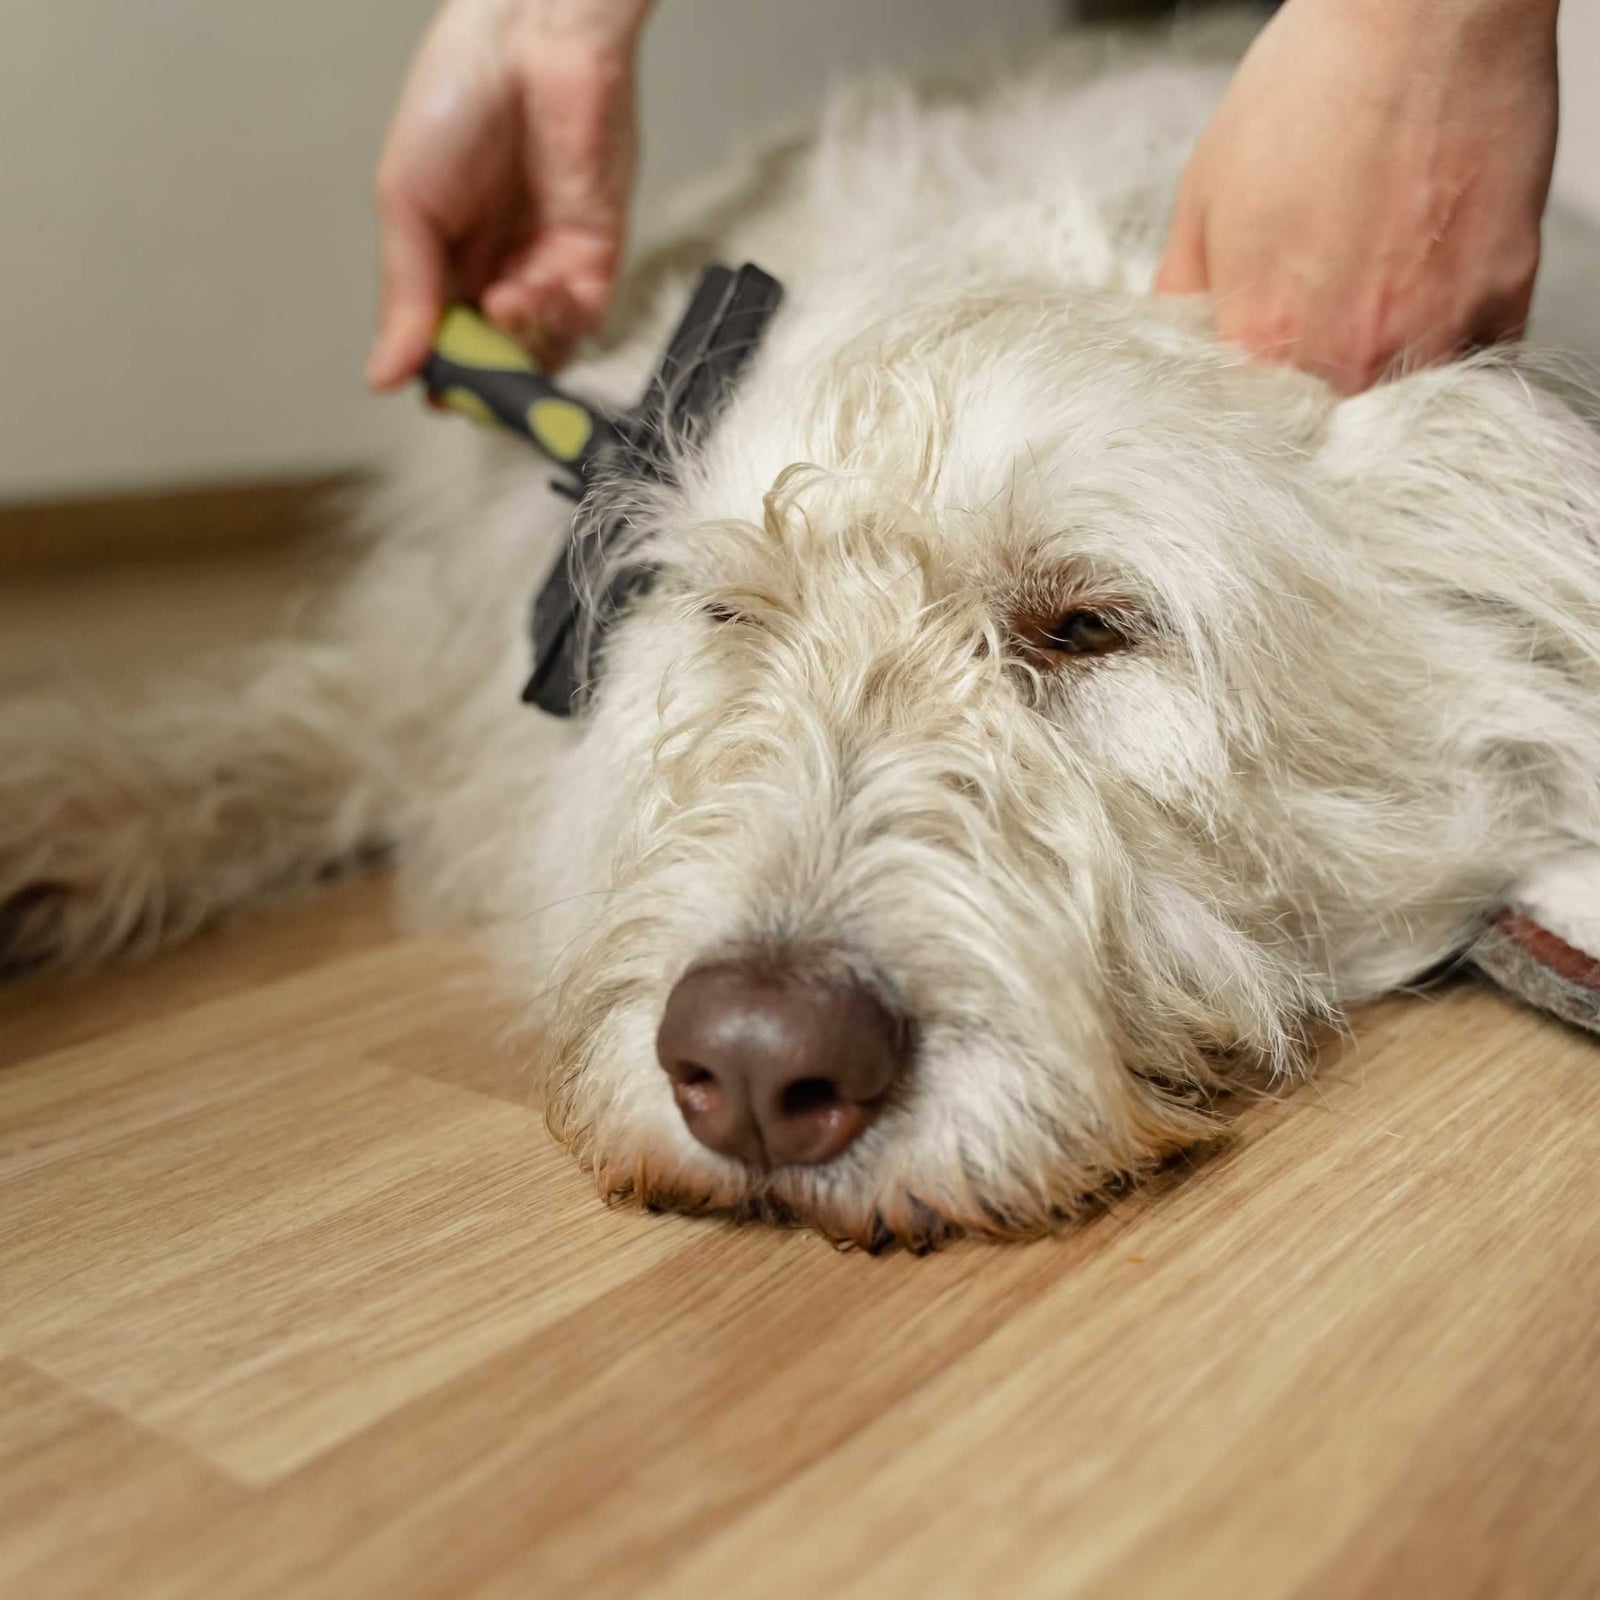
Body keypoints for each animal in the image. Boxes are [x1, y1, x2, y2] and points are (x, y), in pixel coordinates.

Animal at [3, 31, 1600, 1241]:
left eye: (1090, 626)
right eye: (731, 614)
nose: (760, 1069)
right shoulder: (428, 666)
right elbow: (282, 724)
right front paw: (57, 815)